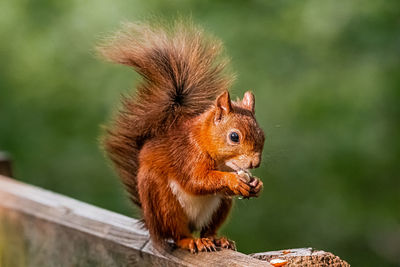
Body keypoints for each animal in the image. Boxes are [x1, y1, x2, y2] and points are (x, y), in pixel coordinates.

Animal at [97, 20, 266, 253]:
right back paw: (192, 241)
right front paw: (232, 180)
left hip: (221, 206)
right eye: (234, 137)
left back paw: (216, 239)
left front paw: (257, 184)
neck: (204, 141)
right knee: (177, 234)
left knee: (208, 229)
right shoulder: (187, 155)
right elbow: (198, 180)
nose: (255, 163)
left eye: (263, 135)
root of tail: (151, 224)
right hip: (164, 202)